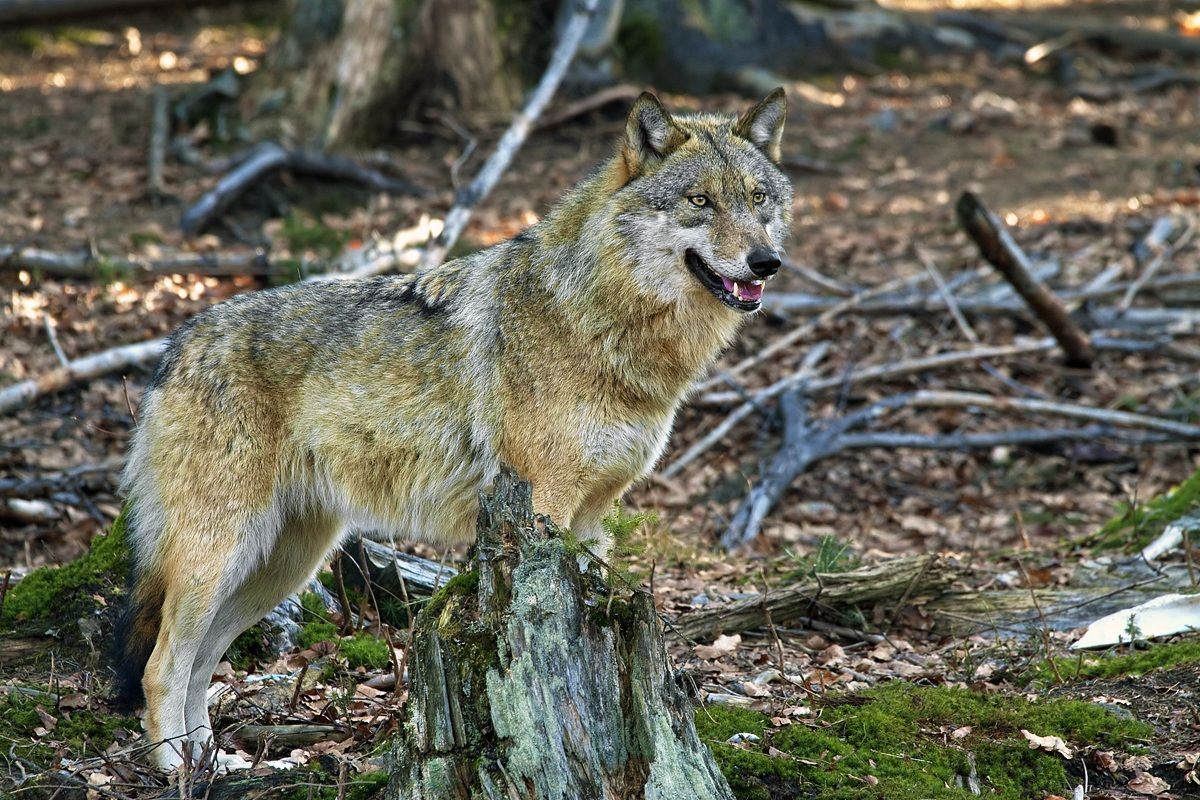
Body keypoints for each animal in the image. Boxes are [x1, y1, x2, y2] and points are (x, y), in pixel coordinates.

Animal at [112, 89, 793, 770]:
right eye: (700, 202)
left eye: (758, 198)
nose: (767, 262)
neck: (597, 315)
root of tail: (174, 348)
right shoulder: (544, 507)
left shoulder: (595, 518)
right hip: (222, 556)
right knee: (162, 665)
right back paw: (176, 770)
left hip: (279, 567)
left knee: (202, 665)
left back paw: (212, 764)